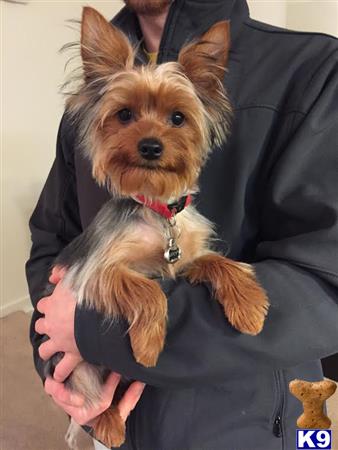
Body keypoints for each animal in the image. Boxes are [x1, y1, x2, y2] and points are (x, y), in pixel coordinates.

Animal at [46, 7, 270, 450]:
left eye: (178, 117)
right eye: (124, 114)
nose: (150, 145)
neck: (158, 210)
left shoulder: (182, 261)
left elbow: (217, 263)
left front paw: (249, 306)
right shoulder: (93, 274)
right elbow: (147, 291)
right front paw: (149, 345)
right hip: (76, 366)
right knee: (95, 397)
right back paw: (110, 425)